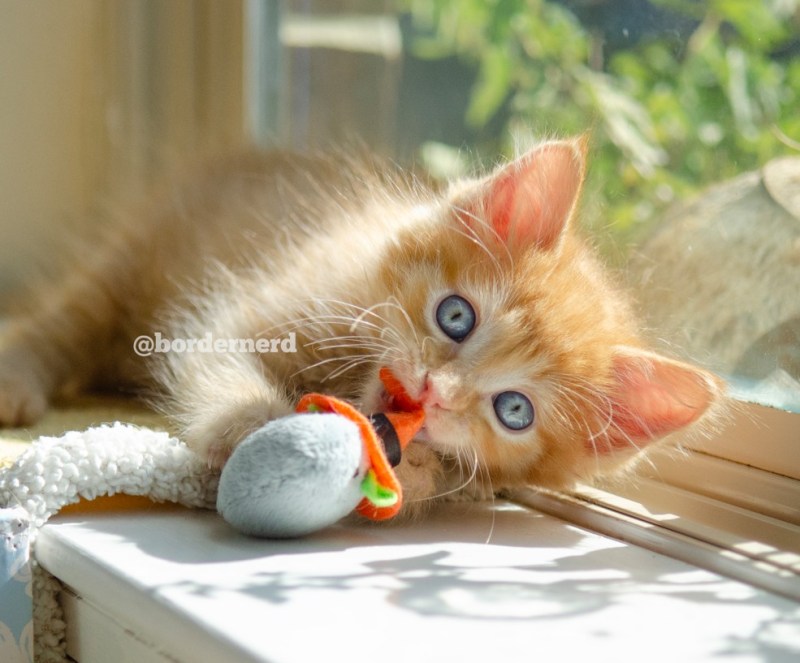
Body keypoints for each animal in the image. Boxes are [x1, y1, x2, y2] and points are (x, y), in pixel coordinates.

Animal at [0, 138, 723, 514]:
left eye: (514, 410)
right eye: (456, 315)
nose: (435, 391)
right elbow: (222, 367)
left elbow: (443, 479)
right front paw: (255, 425)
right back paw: (18, 379)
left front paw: (420, 468)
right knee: (67, 319)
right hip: (134, 257)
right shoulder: (253, 309)